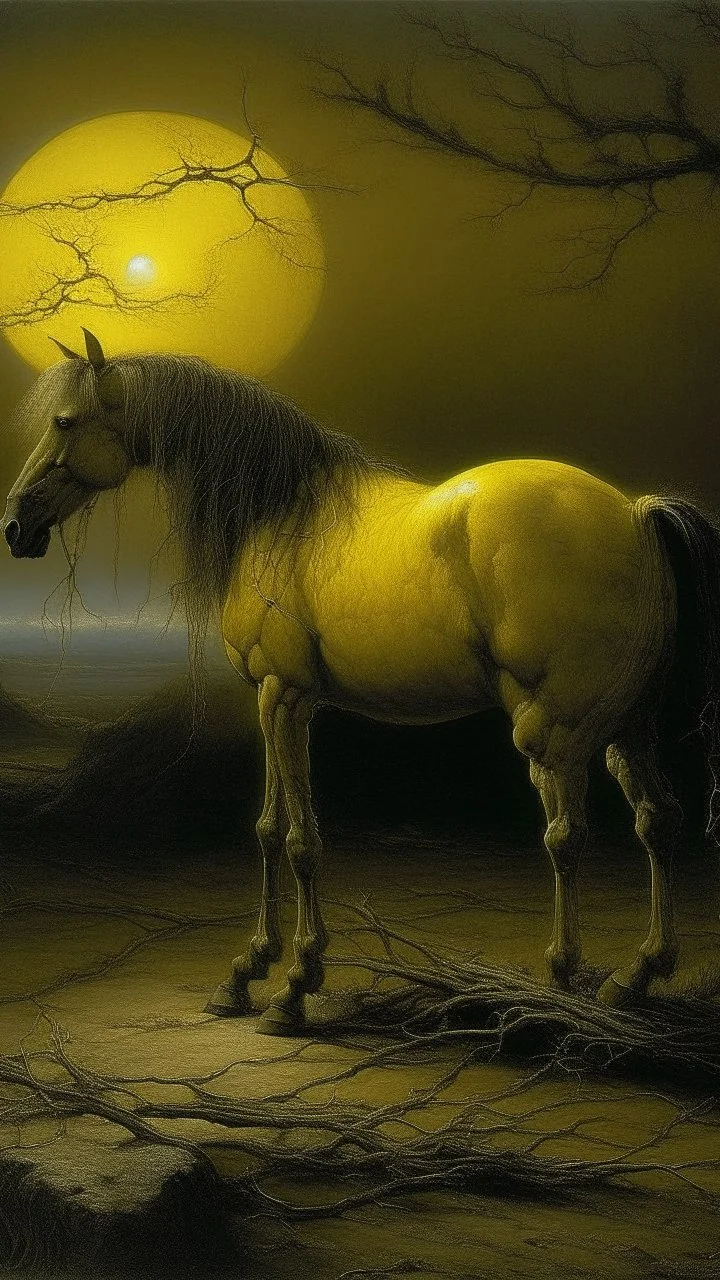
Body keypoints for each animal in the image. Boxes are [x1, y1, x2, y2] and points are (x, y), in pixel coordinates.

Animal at [3, 328, 719, 1037]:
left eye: (66, 421)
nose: (15, 525)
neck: (279, 511)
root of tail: (635, 513)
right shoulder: (275, 700)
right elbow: (267, 829)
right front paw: (244, 975)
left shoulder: (284, 696)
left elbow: (299, 840)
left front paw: (296, 985)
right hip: (627, 729)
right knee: (658, 821)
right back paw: (635, 977)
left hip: (554, 729)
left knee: (566, 837)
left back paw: (565, 983)